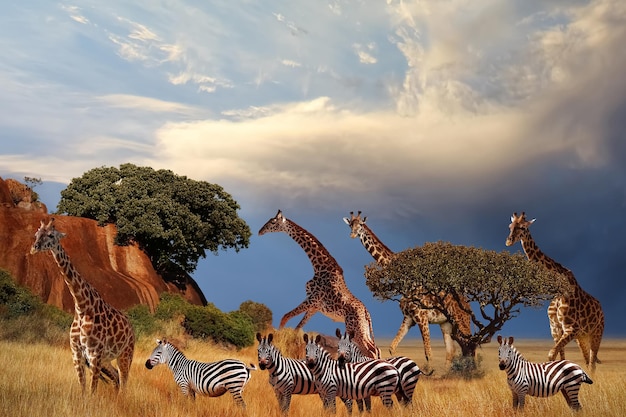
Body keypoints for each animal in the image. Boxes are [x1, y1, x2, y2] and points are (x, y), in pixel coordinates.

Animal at [29, 218, 135, 394]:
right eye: (37, 233)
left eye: (51, 235)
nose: (34, 248)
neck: (81, 306)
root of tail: (131, 329)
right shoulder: (76, 353)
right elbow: (83, 389)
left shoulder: (94, 354)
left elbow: (92, 391)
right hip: (107, 360)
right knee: (116, 379)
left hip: (125, 354)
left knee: (124, 383)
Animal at [258, 210, 378, 356]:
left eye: (273, 222)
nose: (260, 231)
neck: (319, 266)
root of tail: (367, 313)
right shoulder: (315, 307)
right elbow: (297, 327)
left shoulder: (312, 299)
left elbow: (285, 316)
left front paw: (278, 337)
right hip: (363, 329)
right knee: (375, 349)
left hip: (355, 329)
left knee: (371, 351)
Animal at [342, 211, 468, 364]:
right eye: (350, 225)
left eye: (361, 225)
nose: (352, 234)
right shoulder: (408, 317)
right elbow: (392, 347)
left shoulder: (421, 317)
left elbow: (429, 354)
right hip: (446, 324)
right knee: (453, 351)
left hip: (460, 322)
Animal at [504, 213, 604, 368]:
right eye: (510, 226)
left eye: (522, 227)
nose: (508, 241)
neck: (559, 291)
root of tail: (601, 310)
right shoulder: (556, 329)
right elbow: (558, 357)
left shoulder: (570, 328)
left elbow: (552, 354)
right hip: (582, 337)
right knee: (587, 360)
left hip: (596, 333)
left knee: (592, 362)